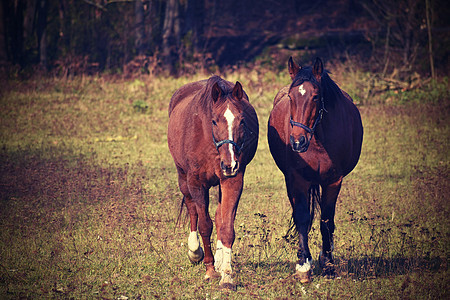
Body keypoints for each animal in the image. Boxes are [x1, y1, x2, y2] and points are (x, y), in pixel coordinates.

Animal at [168, 76, 260, 290]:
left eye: (242, 120)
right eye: (214, 121)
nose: (230, 164)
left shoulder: (232, 181)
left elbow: (225, 227)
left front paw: (226, 275)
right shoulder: (196, 182)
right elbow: (204, 225)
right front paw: (209, 270)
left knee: (218, 217)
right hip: (183, 178)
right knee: (192, 209)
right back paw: (195, 251)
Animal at [268, 56, 362, 284]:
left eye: (316, 97)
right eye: (291, 96)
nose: (297, 141)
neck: (318, 140)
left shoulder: (333, 180)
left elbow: (326, 221)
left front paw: (328, 263)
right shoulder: (297, 179)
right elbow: (302, 217)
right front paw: (304, 265)